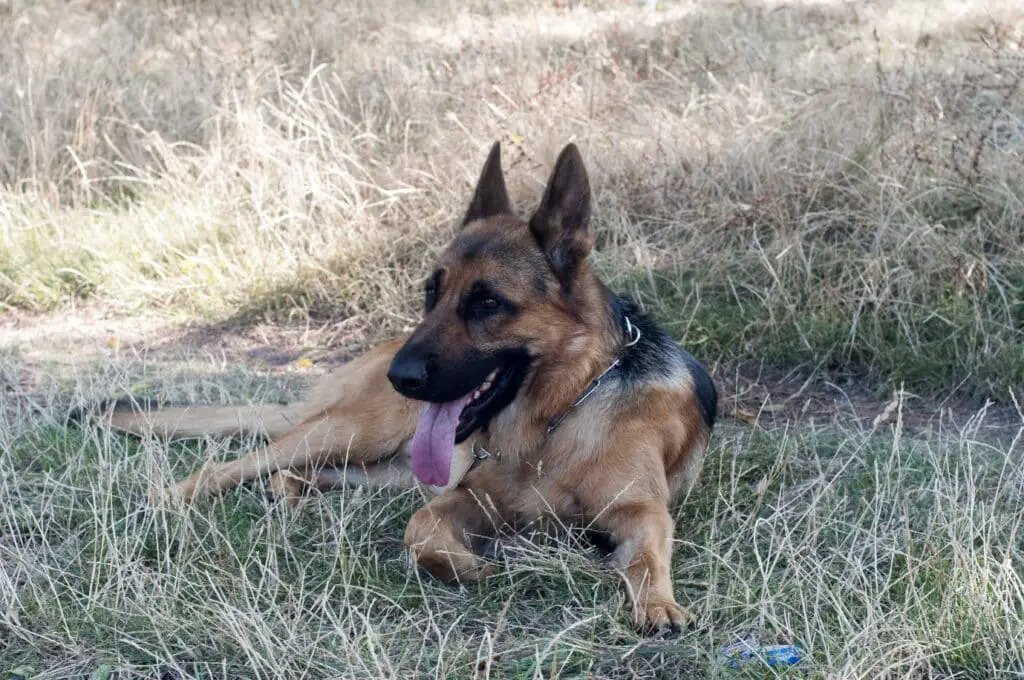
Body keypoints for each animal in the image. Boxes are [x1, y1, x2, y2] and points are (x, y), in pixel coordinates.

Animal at [97, 143, 720, 639]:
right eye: (431, 293)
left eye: (488, 302)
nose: (403, 379)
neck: (559, 415)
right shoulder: (464, 497)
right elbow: (419, 531)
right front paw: (483, 566)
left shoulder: (641, 512)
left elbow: (645, 559)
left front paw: (658, 605)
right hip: (350, 432)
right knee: (234, 464)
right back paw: (169, 497)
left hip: (382, 467)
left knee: (309, 474)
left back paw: (289, 492)